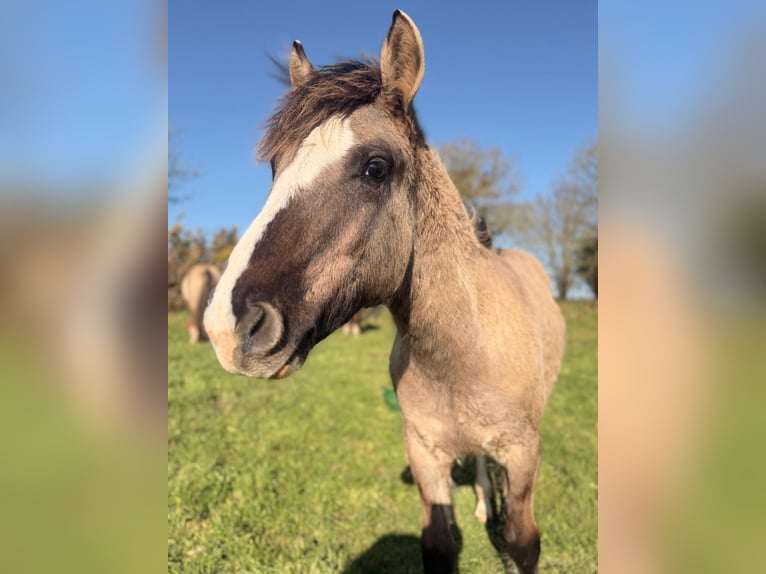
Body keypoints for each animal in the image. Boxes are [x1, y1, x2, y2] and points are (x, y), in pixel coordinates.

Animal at [204, 10, 565, 574]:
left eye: (376, 167)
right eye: (275, 168)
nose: (227, 327)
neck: (464, 354)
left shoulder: (524, 453)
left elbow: (521, 541)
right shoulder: (425, 453)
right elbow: (439, 541)